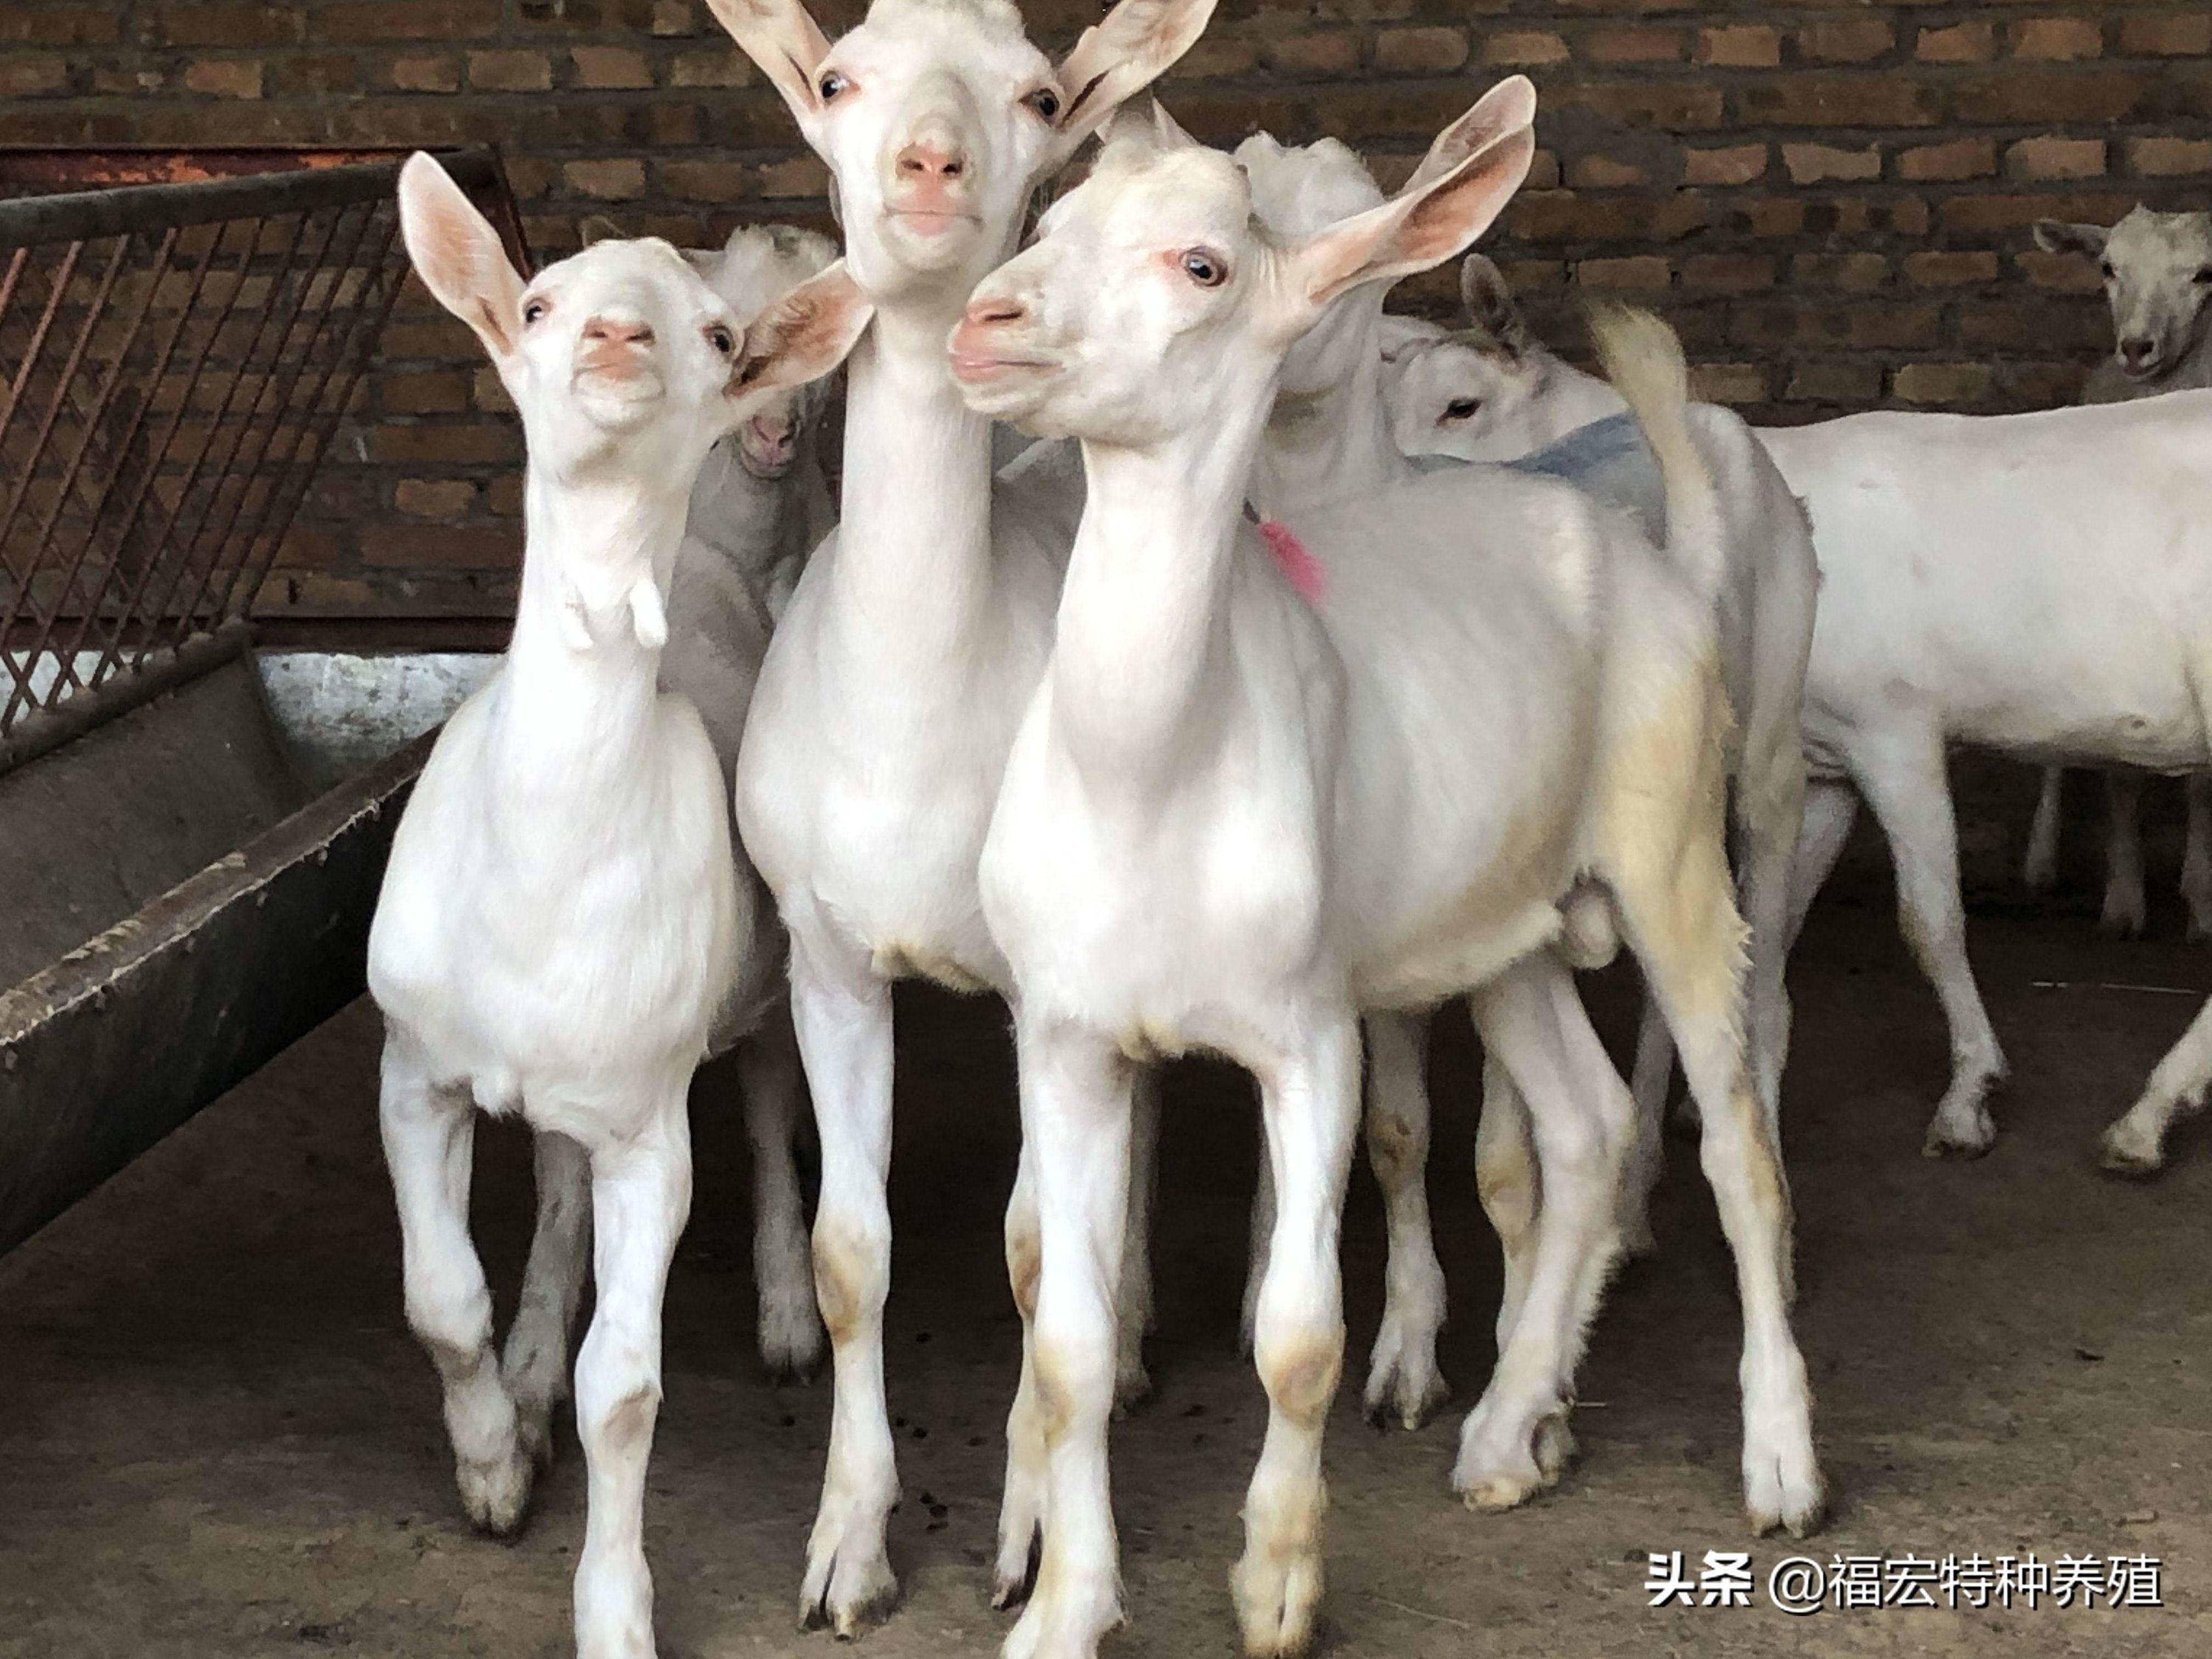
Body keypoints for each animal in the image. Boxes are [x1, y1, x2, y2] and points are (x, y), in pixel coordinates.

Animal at [363, 156, 862, 1659]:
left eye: (719, 334)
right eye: (535, 300)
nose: (617, 340)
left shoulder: (653, 1129)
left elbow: (627, 1390)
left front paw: (615, 1609)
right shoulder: (414, 1067)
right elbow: (441, 1298)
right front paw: (490, 1463)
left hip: (750, 987)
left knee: (762, 1101)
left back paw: (779, 1305)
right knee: (557, 1193)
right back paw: (528, 1363)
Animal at [946, 88, 1814, 1659]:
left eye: (1204, 265)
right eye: (1052, 222)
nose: (990, 322)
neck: (1153, 769)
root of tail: (1639, 548)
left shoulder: (1310, 1028)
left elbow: (1300, 1336)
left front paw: (1278, 1585)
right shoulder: (1066, 1029)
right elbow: (1071, 1340)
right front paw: (1063, 1609)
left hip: (1671, 841)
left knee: (1736, 1143)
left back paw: (1780, 1463)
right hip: (1508, 920)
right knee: (1585, 1126)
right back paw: (1505, 1437)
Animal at [2026, 211, 2212, 946]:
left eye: (2204, 273)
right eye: (2108, 267)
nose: (2137, 348)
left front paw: (2202, 903)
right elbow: (2116, 774)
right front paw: (2124, 900)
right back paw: (2042, 862)